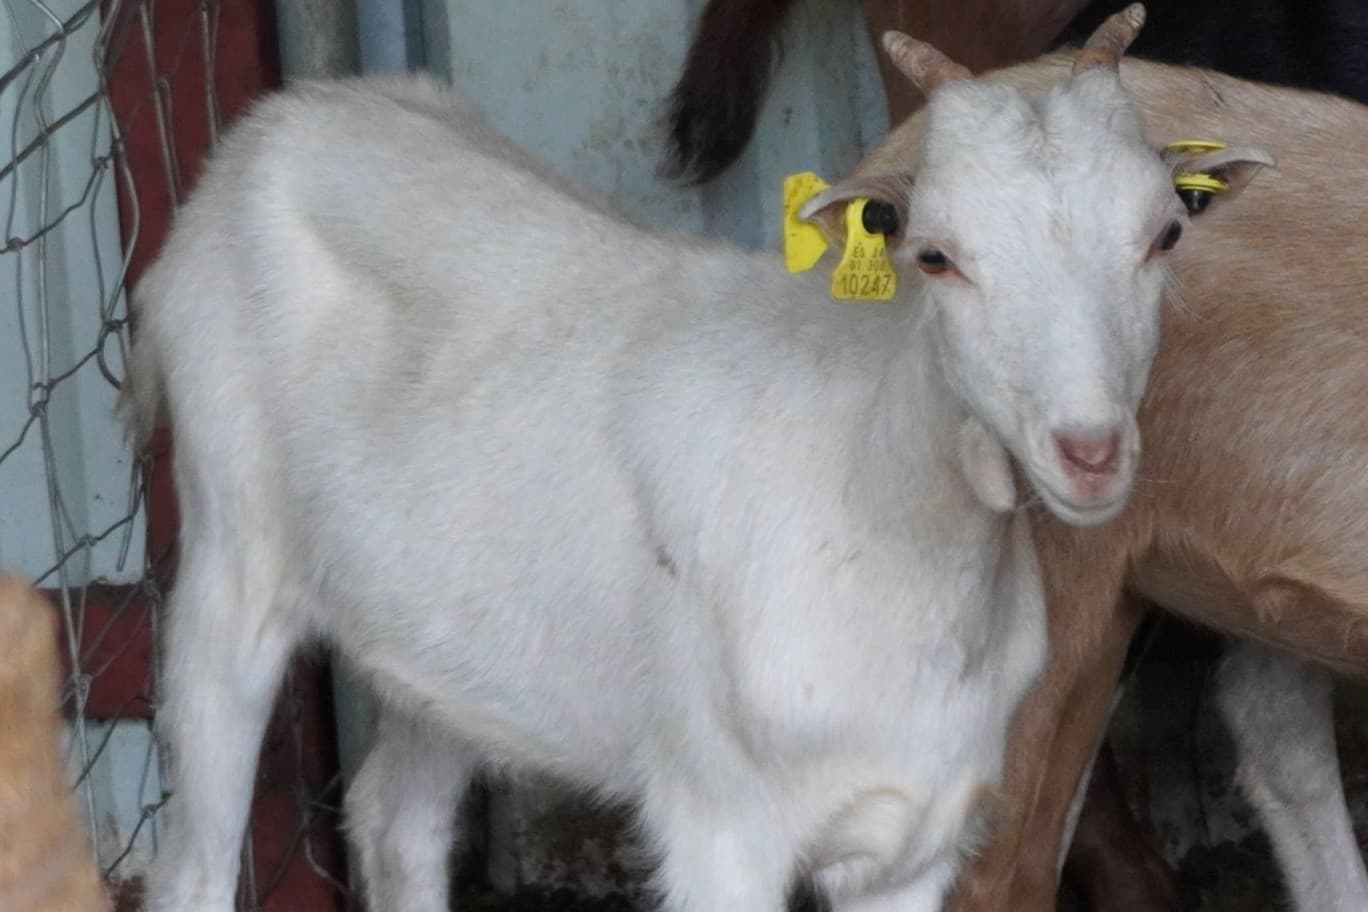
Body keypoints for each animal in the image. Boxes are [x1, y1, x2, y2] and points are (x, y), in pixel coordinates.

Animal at [126, 9, 1250, 911]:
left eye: (1164, 235)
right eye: (934, 254)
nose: (1090, 450)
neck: (875, 493)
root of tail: (289, 118)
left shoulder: (914, 835)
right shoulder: (720, 819)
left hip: (440, 639)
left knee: (395, 819)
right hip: (229, 549)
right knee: (195, 860)